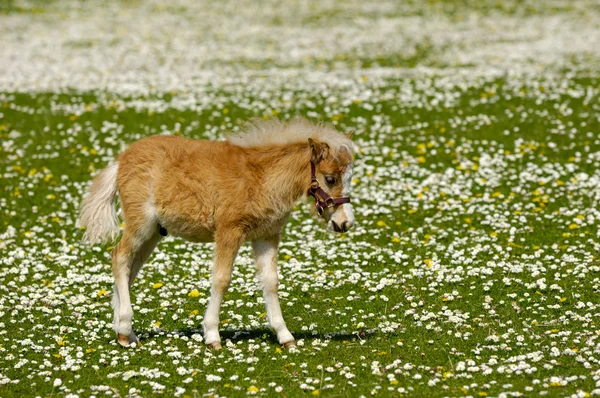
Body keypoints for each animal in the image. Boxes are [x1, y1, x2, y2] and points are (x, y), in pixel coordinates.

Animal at [77, 118, 354, 348]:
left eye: (350, 178)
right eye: (330, 179)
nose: (344, 223)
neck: (262, 177)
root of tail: (120, 159)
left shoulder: (266, 235)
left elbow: (271, 282)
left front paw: (285, 336)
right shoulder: (228, 231)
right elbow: (221, 279)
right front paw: (212, 336)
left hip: (153, 233)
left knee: (129, 268)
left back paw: (124, 332)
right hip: (140, 224)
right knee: (119, 257)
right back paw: (124, 328)